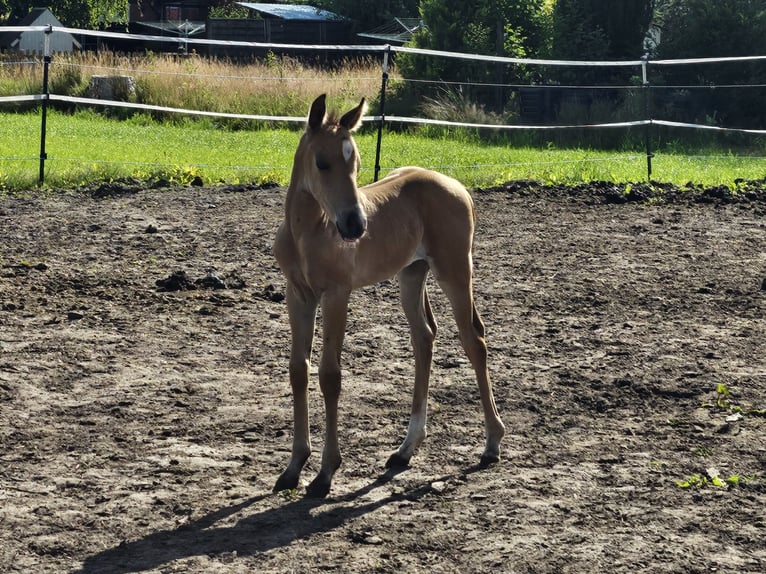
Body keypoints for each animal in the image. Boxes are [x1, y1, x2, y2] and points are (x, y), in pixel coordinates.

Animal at [272, 94, 508, 500]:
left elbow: (330, 376)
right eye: (322, 162)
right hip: (412, 274)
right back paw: (405, 448)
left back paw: (492, 442)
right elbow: (298, 371)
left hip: (455, 270)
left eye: (356, 164)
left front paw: (325, 473)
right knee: (424, 337)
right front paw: (293, 466)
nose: (356, 225)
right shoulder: (297, 294)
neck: (309, 231)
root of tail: (458, 186)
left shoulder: (336, 294)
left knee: (473, 339)